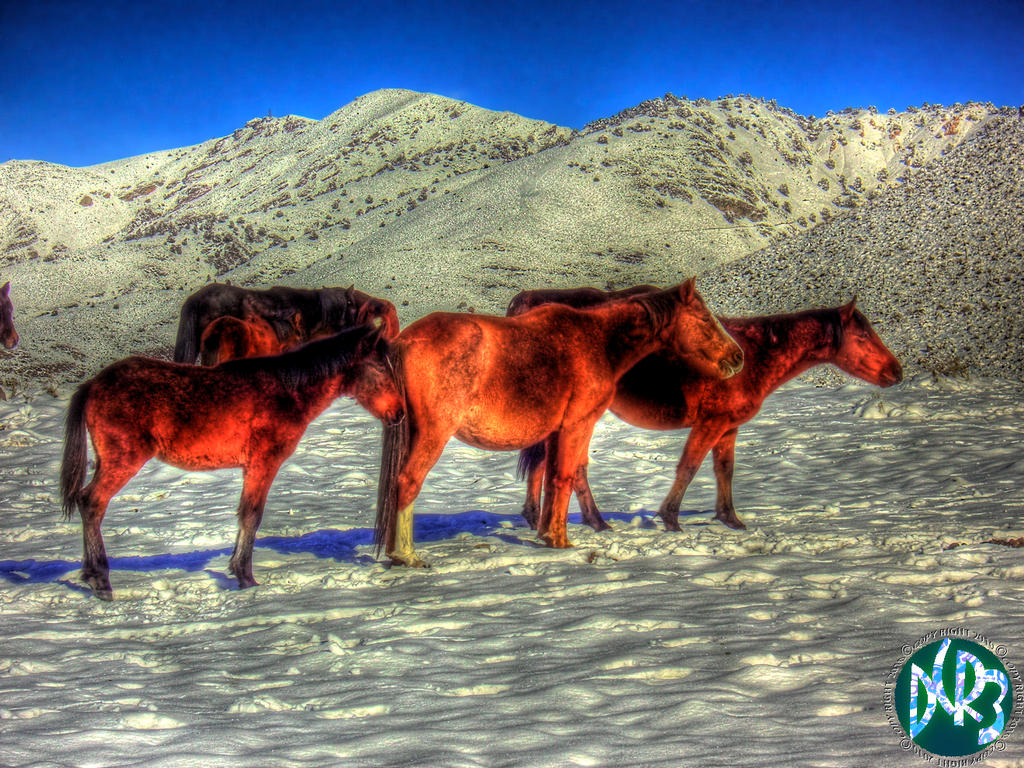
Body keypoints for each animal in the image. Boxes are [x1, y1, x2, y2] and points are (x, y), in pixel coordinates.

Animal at [58, 325, 403, 602]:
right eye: (380, 368)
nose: (399, 413)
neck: (288, 391)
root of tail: (93, 385)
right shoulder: (264, 463)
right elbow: (252, 515)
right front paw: (245, 577)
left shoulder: (252, 467)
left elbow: (244, 514)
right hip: (122, 460)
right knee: (92, 503)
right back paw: (100, 580)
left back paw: (90, 574)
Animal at [376, 280, 745, 569]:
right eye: (704, 317)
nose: (737, 356)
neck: (600, 340)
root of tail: (404, 341)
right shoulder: (577, 425)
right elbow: (566, 477)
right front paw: (560, 539)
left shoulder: (555, 432)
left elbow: (553, 479)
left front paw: (548, 534)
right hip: (432, 434)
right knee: (407, 482)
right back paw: (406, 555)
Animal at [512, 286, 905, 532]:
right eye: (864, 336)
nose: (896, 371)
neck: (754, 354)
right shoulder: (710, 423)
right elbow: (688, 468)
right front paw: (670, 518)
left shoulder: (729, 426)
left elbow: (724, 470)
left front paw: (730, 518)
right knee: (571, 466)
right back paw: (591, 520)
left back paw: (541, 517)